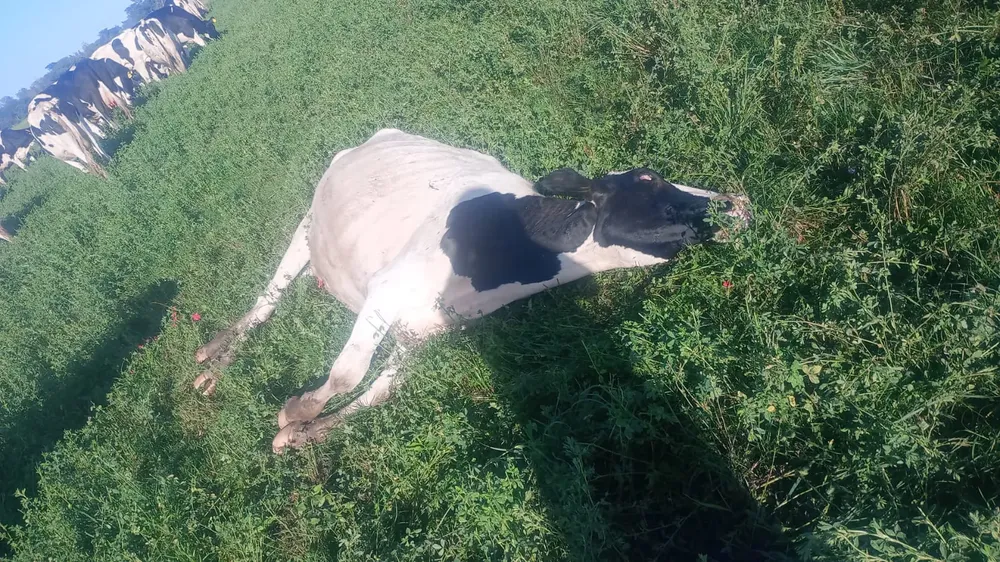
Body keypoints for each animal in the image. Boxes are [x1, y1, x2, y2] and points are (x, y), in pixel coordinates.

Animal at [192, 129, 753, 453]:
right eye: (649, 178)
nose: (735, 202)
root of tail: (379, 134)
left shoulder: (427, 330)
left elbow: (378, 393)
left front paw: (305, 435)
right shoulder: (390, 288)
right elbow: (348, 372)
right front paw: (294, 413)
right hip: (307, 225)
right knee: (269, 298)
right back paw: (213, 363)